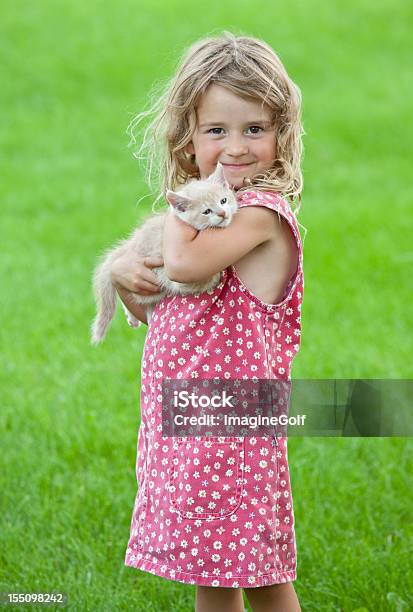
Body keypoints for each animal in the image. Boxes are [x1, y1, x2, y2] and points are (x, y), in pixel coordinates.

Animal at [91, 163, 237, 344]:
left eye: (223, 200)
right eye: (207, 211)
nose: (222, 213)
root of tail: (130, 244)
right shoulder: (171, 273)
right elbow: (207, 279)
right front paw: (217, 276)